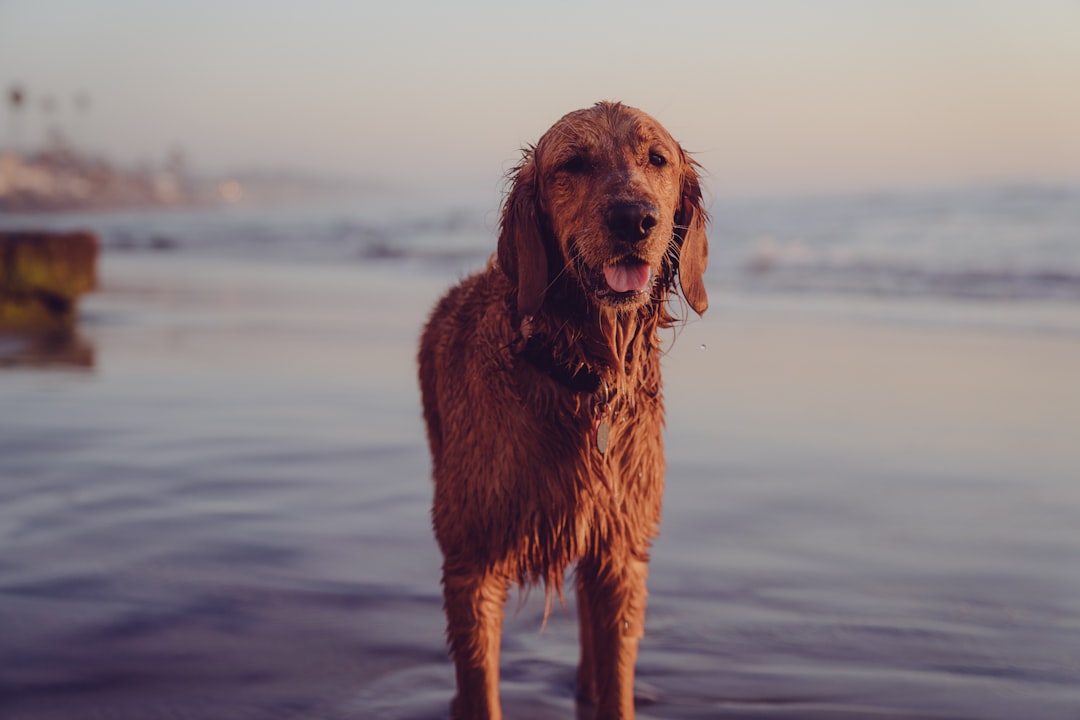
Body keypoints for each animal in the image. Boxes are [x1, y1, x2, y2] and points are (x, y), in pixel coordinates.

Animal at [414, 102, 708, 720]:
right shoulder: (471, 561)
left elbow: (617, 674)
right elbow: (480, 686)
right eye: (573, 163)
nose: (633, 219)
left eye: (657, 159)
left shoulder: (622, 550)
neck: (579, 379)